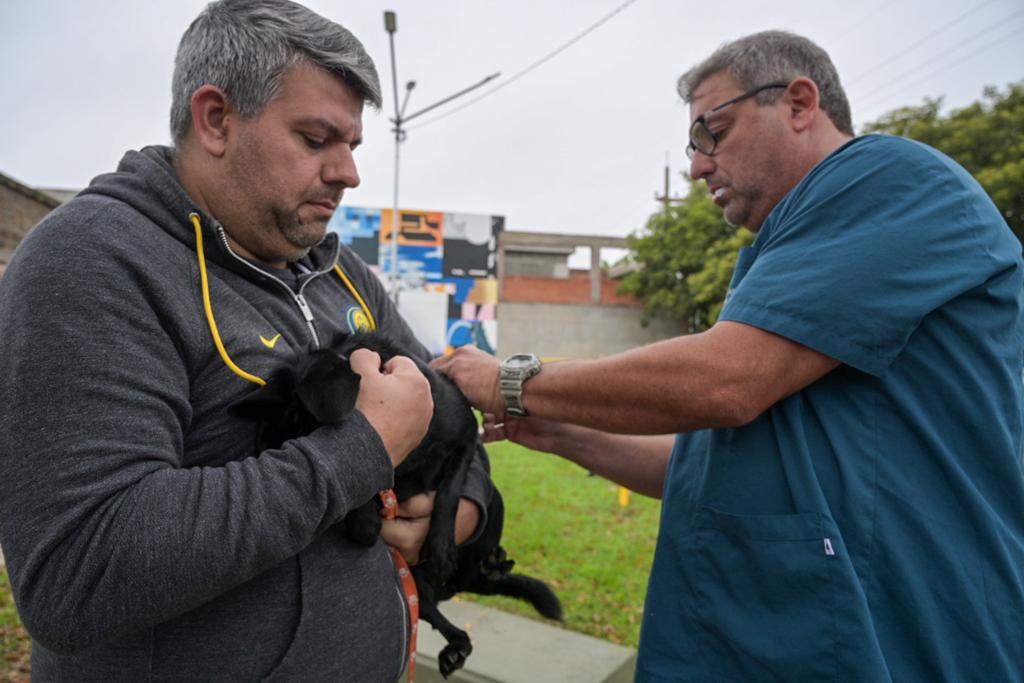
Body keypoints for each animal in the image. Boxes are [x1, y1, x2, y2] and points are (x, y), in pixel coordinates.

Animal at [234, 331, 561, 679]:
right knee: (446, 620)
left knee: (476, 574)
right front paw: (367, 518)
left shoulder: (466, 438)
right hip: (422, 587)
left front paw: (439, 548)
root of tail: (452, 586)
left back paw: (490, 568)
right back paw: (456, 645)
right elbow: (369, 491)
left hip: (494, 505)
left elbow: (448, 493)